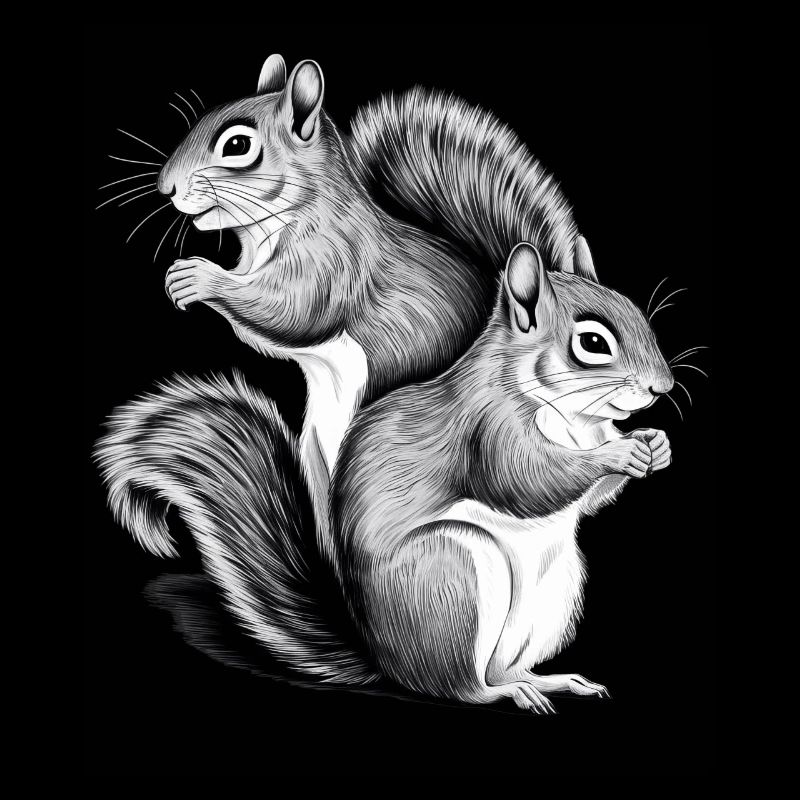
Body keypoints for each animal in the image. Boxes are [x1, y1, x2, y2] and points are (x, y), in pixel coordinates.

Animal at [96, 241, 674, 711]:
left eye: (638, 314)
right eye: (593, 343)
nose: (662, 388)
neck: (576, 419)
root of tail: (384, 658)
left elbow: (588, 502)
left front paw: (656, 447)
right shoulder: (487, 427)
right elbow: (525, 481)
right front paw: (621, 452)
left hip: (554, 594)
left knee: (498, 667)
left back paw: (547, 680)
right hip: (448, 574)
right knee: (462, 686)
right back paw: (508, 693)